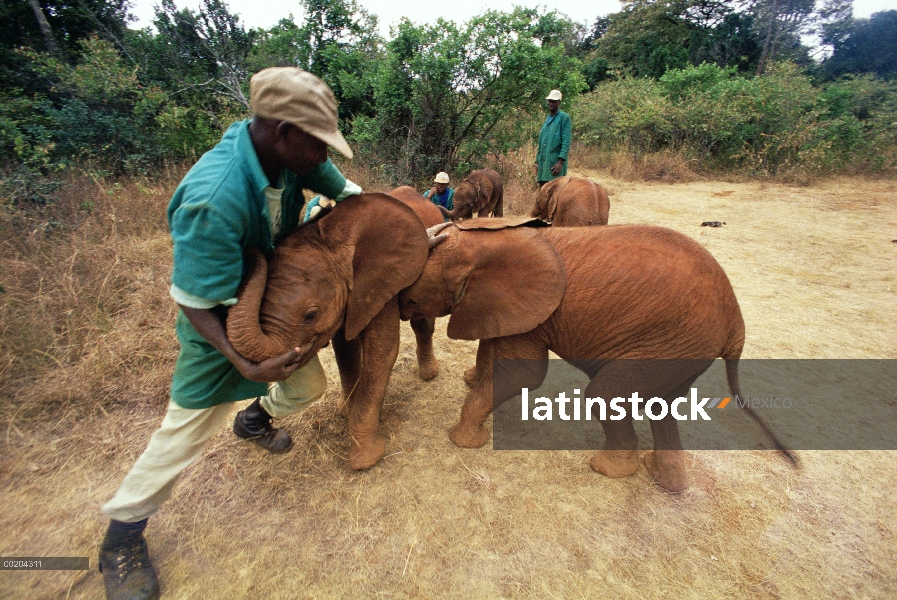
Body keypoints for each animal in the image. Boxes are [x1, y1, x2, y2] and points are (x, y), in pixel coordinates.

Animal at [228, 195, 430, 472]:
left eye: (311, 315)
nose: (247, 249)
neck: (334, 233)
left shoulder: (382, 281)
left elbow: (381, 353)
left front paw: (365, 459)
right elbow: (344, 349)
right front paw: (345, 412)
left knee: (422, 322)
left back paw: (429, 375)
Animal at [400, 220, 792, 492]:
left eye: (413, 296)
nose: (400, 310)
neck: (485, 241)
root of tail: (736, 322)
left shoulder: (531, 308)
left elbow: (525, 374)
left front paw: (462, 440)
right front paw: (472, 382)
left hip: (675, 341)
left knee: (605, 393)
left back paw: (608, 469)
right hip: (682, 349)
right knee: (662, 404)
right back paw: (664, 480)